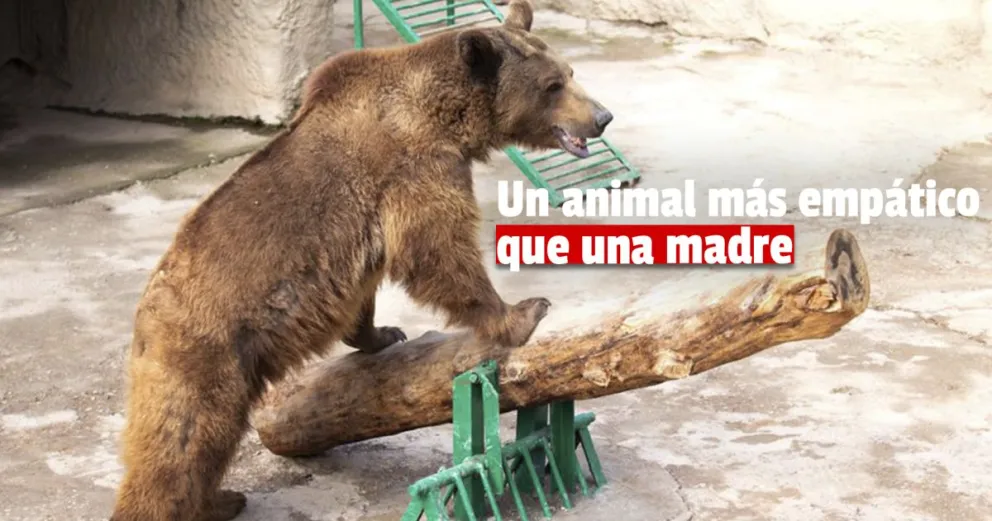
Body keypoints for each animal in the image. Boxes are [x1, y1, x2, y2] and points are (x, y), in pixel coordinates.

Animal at [108, 1, 614, 520]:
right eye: (552, 85)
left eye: (570, 73)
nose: (602, 117)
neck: (446, 117)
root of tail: (144, 317)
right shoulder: (416, 167)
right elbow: (438, 249)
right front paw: (523, 312)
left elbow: (371, 285)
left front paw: (383, 333)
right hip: (205, 351)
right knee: (183, 442)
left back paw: (220, 498)